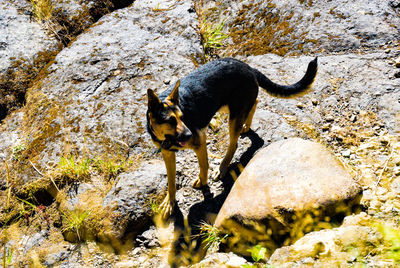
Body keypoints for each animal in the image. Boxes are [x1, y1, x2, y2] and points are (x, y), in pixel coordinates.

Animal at [145, 57, 318, 218]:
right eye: (171, 120)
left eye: (182, 117)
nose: (189, 135)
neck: (166, 138)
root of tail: (248, 67)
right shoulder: (167, 154)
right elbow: (171, 181)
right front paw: (170, 202)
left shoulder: (200, 142)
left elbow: (203, 165)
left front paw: (202, 182)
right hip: (228, 109)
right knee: (255, 102)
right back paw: (246, 126)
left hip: (233, 116)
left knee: (233, 144)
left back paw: (222, 167)